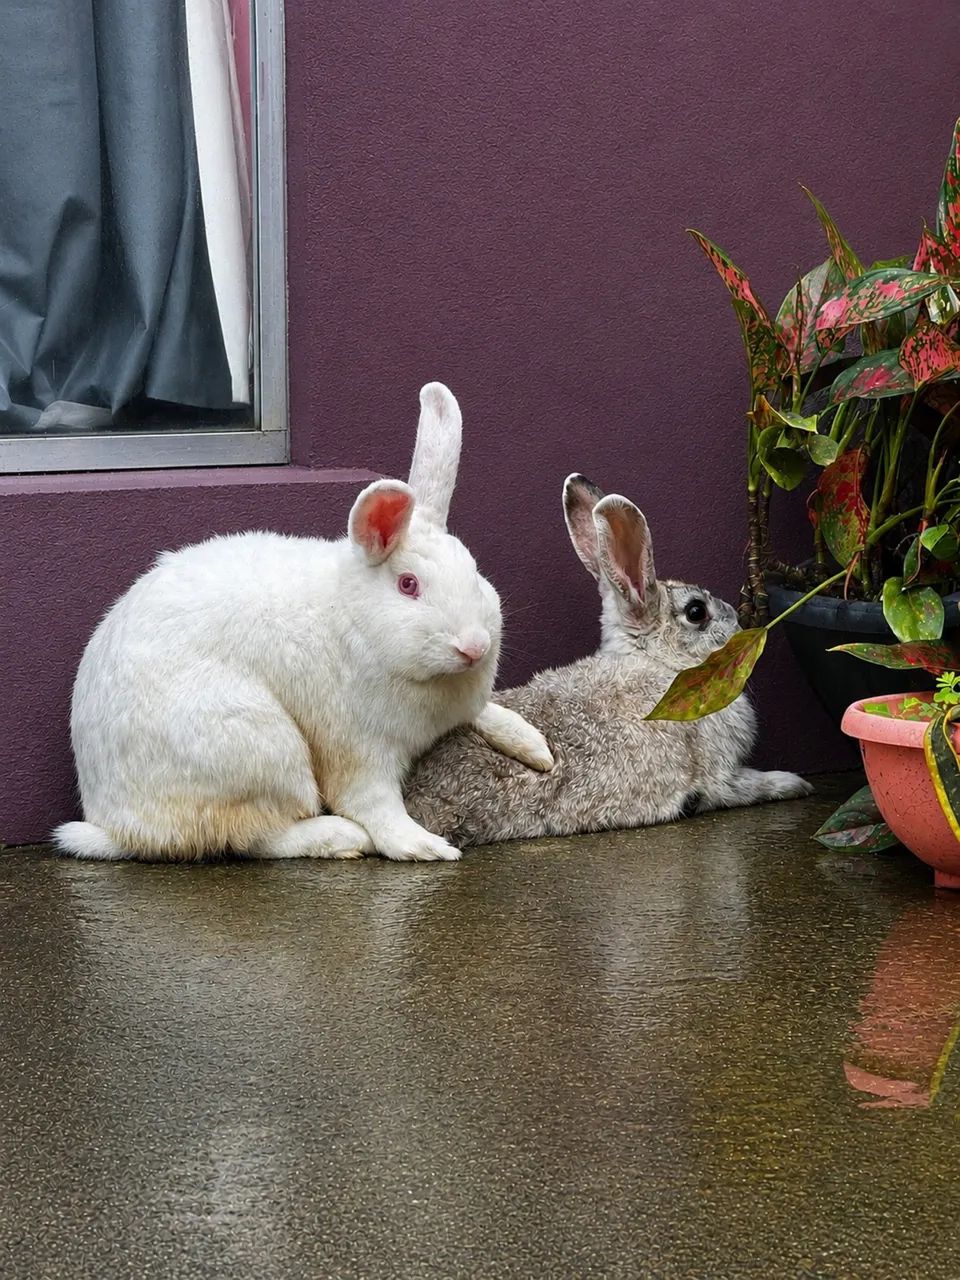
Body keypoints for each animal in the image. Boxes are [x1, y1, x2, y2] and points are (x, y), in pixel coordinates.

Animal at [53, 382, 554, 865]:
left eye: (474, 571)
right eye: (408, 585)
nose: (474, 647)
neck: (354, 617)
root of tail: (117, 825)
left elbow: (486, 712)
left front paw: (538, 748)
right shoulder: (357, 746)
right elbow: (375, 804)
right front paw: (425, 847)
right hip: (259, 749)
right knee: (252, 835)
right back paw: (340, 837)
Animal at [403, 473, 813, 847]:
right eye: (697, 612)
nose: (737, 622)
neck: (661, 664)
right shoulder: (718, 776)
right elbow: (745, 785)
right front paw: (795, 783)